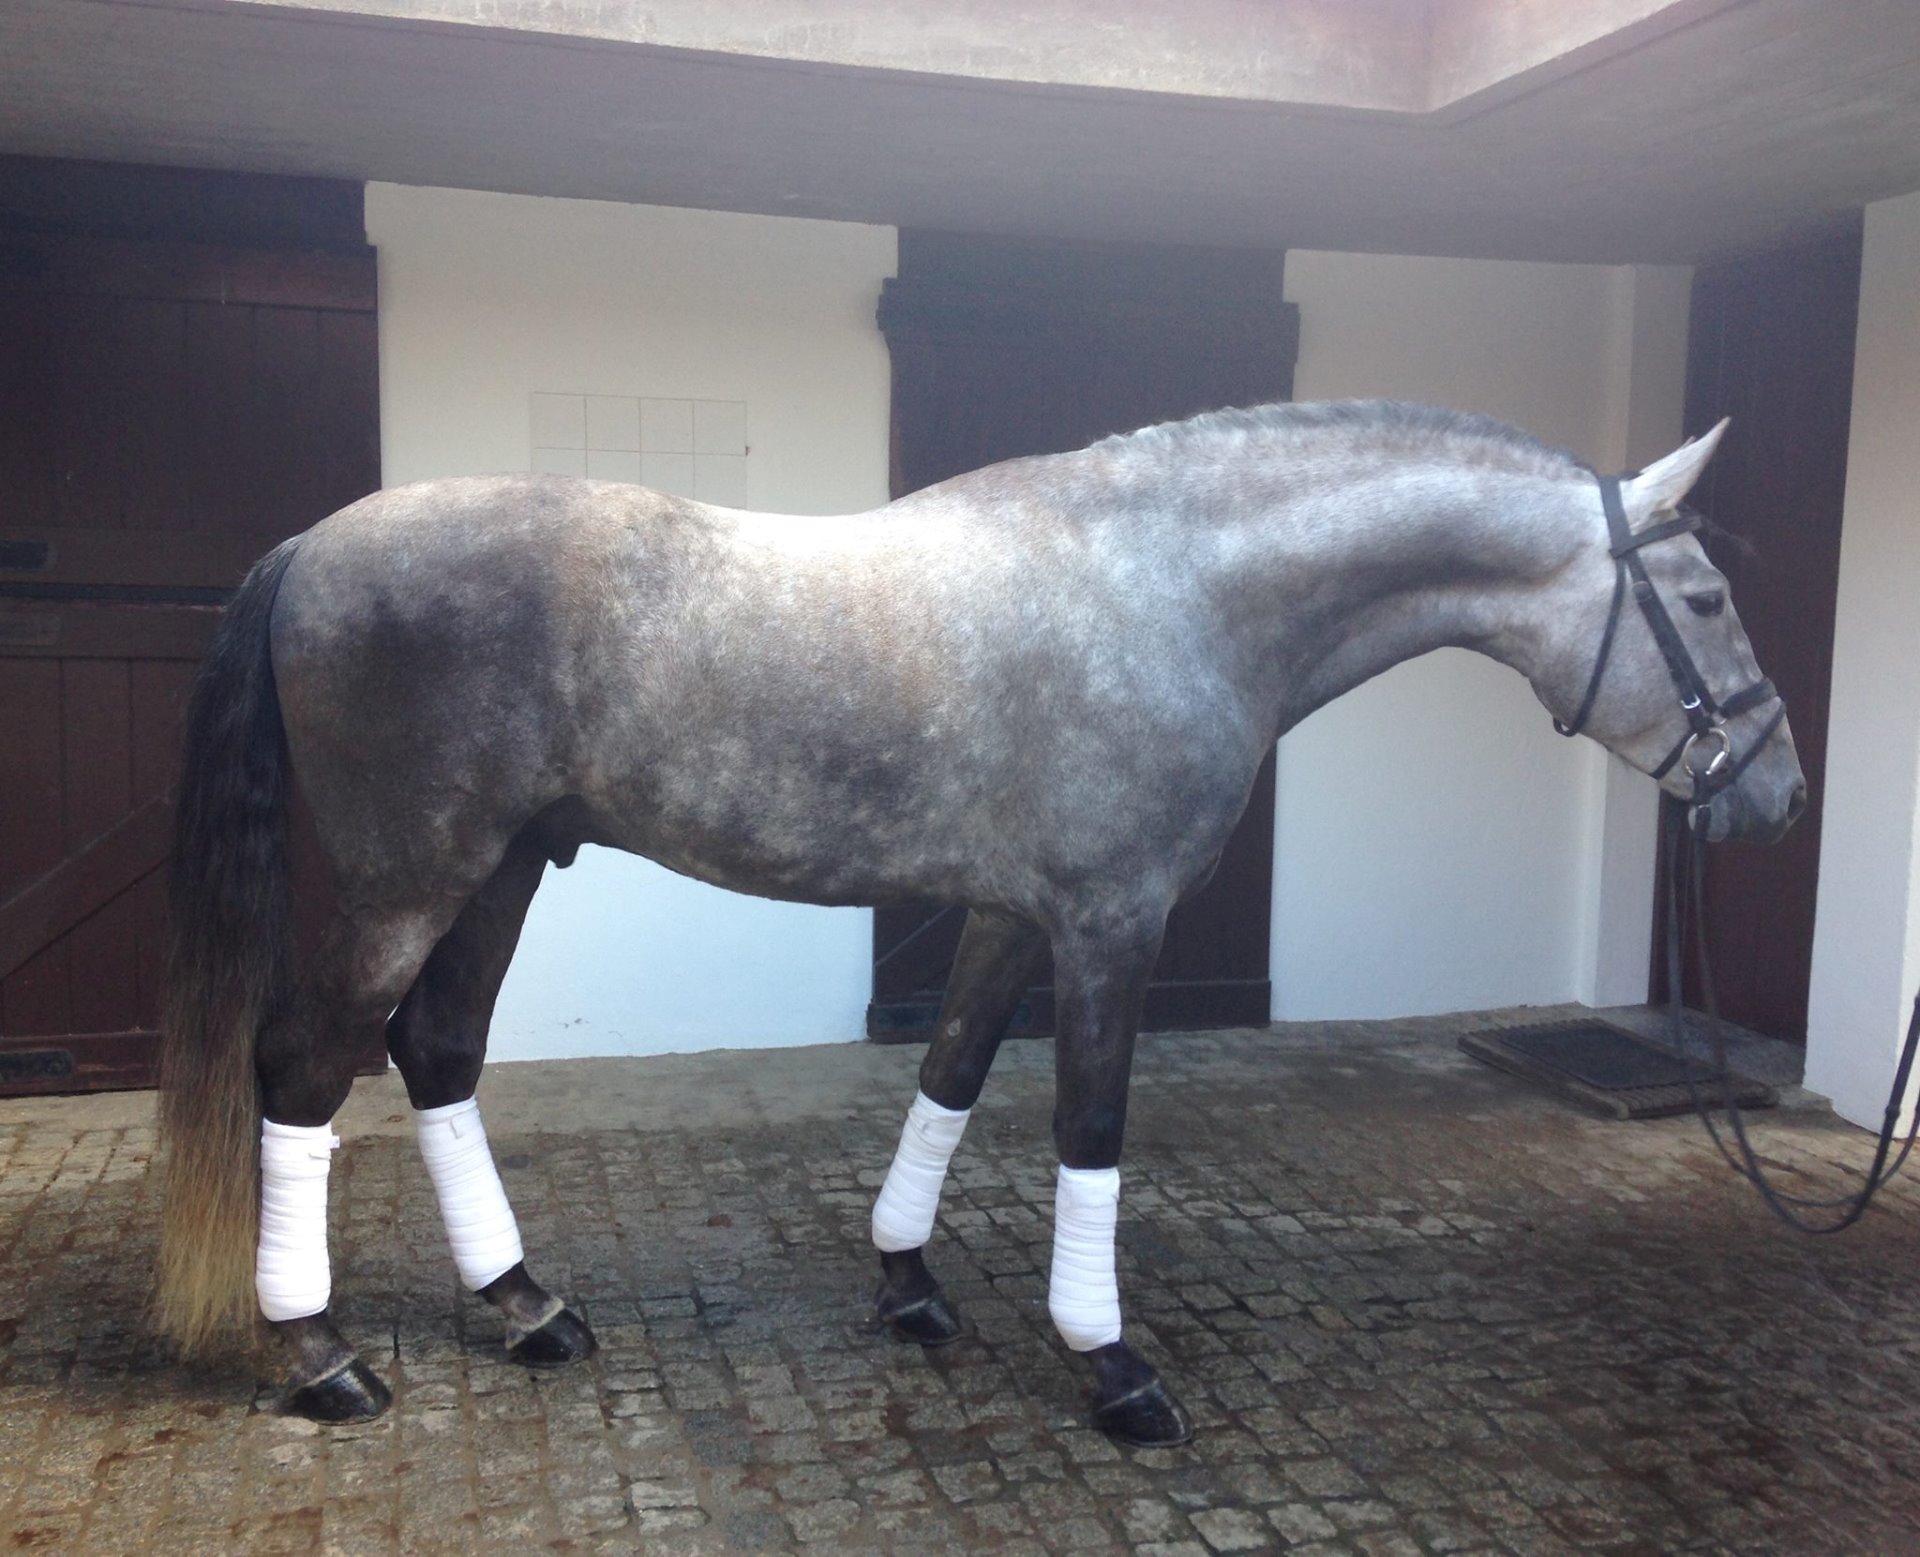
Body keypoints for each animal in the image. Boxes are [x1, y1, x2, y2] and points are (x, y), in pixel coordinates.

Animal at [153, 399, 1805, 1444]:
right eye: (1706, 600)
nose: (1780, 795)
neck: (1170, 592)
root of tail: (314, 547)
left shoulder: (1015, 917)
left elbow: (947, 1074)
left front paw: (908, 1283)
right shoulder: (1110, 924)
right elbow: (1090, 1127)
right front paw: (1114, 1365)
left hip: (501, 867)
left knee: (436, 1050)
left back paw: (526, 1305)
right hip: (411, 876)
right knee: (303, 1066)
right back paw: (321, 1354)